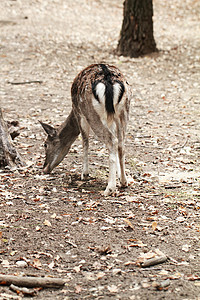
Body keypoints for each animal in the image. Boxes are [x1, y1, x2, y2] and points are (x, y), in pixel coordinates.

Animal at [40, 63, 131, 196]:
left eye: (45, 144)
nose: (44, 168)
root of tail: (108, 79)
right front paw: (119, 175)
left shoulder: (80, 114)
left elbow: (85, 141)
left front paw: (85, 174)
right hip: (124, 111)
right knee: (121, 144)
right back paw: (124, 182)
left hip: (92, 113)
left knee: (112, 140)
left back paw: (109, 188)